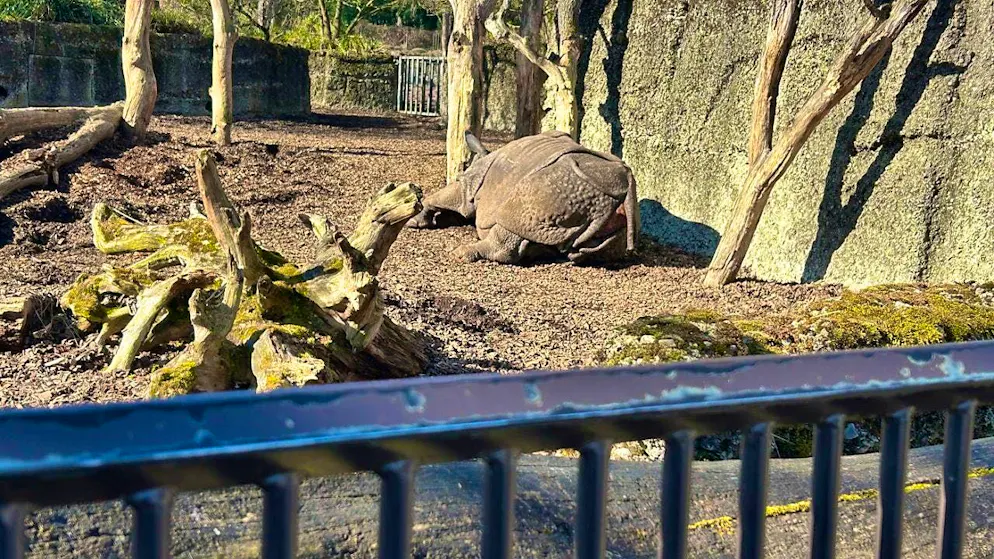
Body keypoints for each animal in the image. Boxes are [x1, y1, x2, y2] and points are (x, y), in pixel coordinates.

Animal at [407, 130, 640, 265]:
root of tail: (625, 184)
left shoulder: (469, 186)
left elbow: (447, 195)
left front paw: (414, 222)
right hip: (595, 193)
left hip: (554, 186)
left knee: (513, 216)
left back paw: (461, 253)